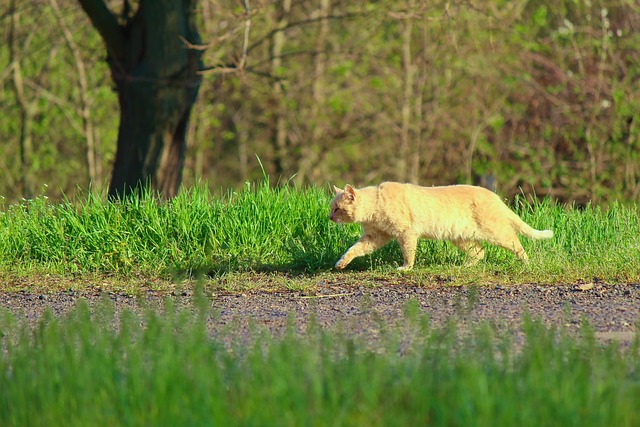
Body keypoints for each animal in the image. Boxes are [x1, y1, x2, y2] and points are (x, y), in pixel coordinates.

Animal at [328, 181, 552, 270]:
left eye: (337, 209)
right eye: (331, 208)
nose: (329, 218)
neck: (375, 204)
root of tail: (494, 196)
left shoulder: (406, 233)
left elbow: (408, 253)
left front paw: (406, 268)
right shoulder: (374, 237)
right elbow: (354, 249)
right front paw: (341, 263)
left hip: (495, 232)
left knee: (517, 243)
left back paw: (526, 263)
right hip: (461, 237)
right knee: (479, 253)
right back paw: (463, 267)